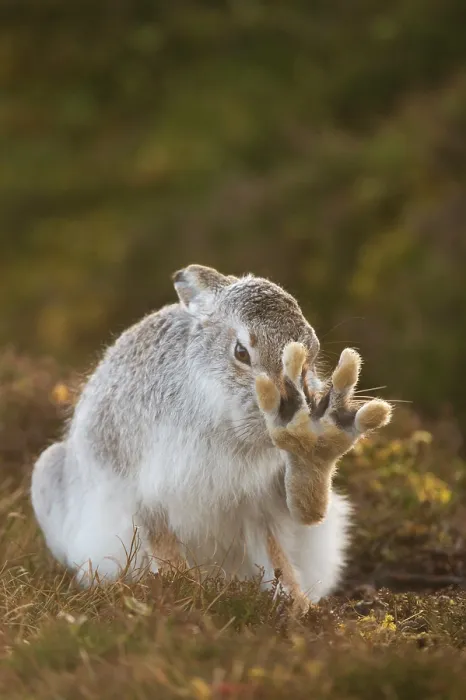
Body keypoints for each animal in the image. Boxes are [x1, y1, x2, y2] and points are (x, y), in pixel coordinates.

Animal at [31, 264, 391, 609]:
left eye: (310, 361)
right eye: (241, 352)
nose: (289, 414)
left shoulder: (263, 503)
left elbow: (300, 521)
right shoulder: (141, 488)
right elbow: (161, 543)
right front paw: (179, 588)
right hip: (46, 474)